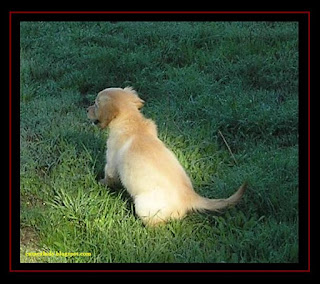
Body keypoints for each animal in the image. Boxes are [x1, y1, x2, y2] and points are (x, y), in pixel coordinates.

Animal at [86, 87, 246, 226]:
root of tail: (191, 197)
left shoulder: (111, 162)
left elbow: (108, 176)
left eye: (96, 104)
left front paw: (100, 183)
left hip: (142, 205)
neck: (132, 121)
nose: (86, 109)